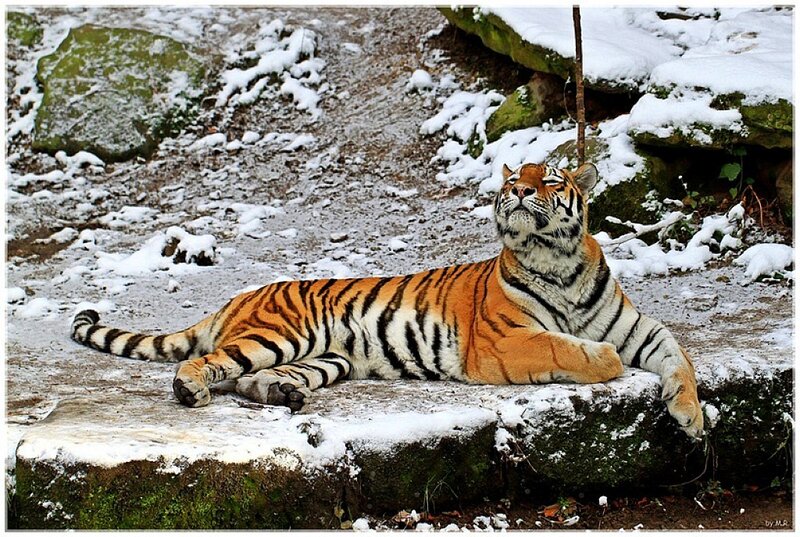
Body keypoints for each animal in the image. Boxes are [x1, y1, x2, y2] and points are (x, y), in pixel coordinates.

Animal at [71, 162, 704, 439]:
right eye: (514, 181)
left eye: (548, 180)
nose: (521, 191)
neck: (559, 262)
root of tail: (241, 294)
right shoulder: (501, 344)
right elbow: (566, 346)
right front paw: (604, 361)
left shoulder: (639, 327)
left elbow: (679, 356)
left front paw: (690, 417)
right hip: (278, 334)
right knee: (205, 362)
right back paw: (189, 389)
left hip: (326, 357)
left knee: (250, 380)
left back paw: (283, 396)